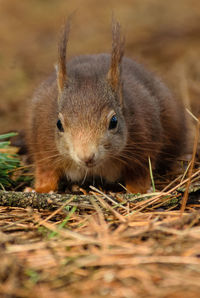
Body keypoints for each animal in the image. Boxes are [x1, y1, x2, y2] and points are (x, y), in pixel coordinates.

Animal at [25, 19, 187, 194]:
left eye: (114, 122)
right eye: (58, 124)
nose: (86, 157)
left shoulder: (145, 142)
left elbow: (139, 171)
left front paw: (140, 190)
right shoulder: (42, 145)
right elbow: (46, 170)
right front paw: (41, 189)